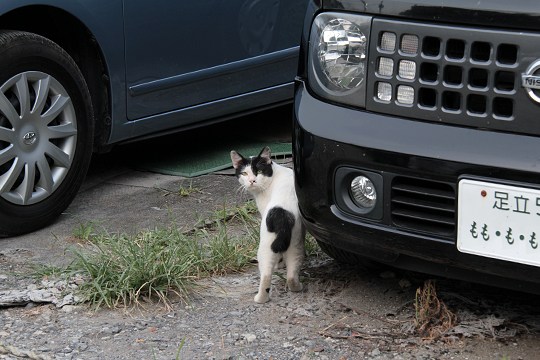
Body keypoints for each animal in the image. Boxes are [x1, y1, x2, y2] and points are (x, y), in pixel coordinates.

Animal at [228, 146, 304, 304]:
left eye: (259, 171)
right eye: (244, 173)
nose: (252, 181)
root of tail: (283, 215)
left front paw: (280, 264)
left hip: (265, 247)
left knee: (266, 274)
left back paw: (260, 298)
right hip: (296, 242)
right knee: (291, 273)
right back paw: (297, 287)